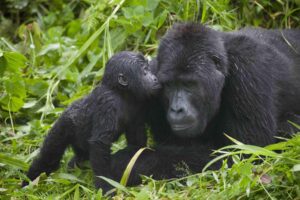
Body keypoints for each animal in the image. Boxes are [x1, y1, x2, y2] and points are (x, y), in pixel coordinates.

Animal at [22, 50, 161, 191]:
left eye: (148, 69)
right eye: (145, 71)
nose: (155, 78)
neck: (121, 93)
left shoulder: (139, 103)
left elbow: (136, 141)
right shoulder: (108, 103)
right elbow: (99, 144)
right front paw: (105, 186)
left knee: (80, 156)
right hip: (64, 125)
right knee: (49, 156)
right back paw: (30, 181)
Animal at [110, 22, 300, 185]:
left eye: (189, 84)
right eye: (169, 85)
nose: (177, 109)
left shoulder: (249, 68)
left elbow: (243, 154)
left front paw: (128, 161)